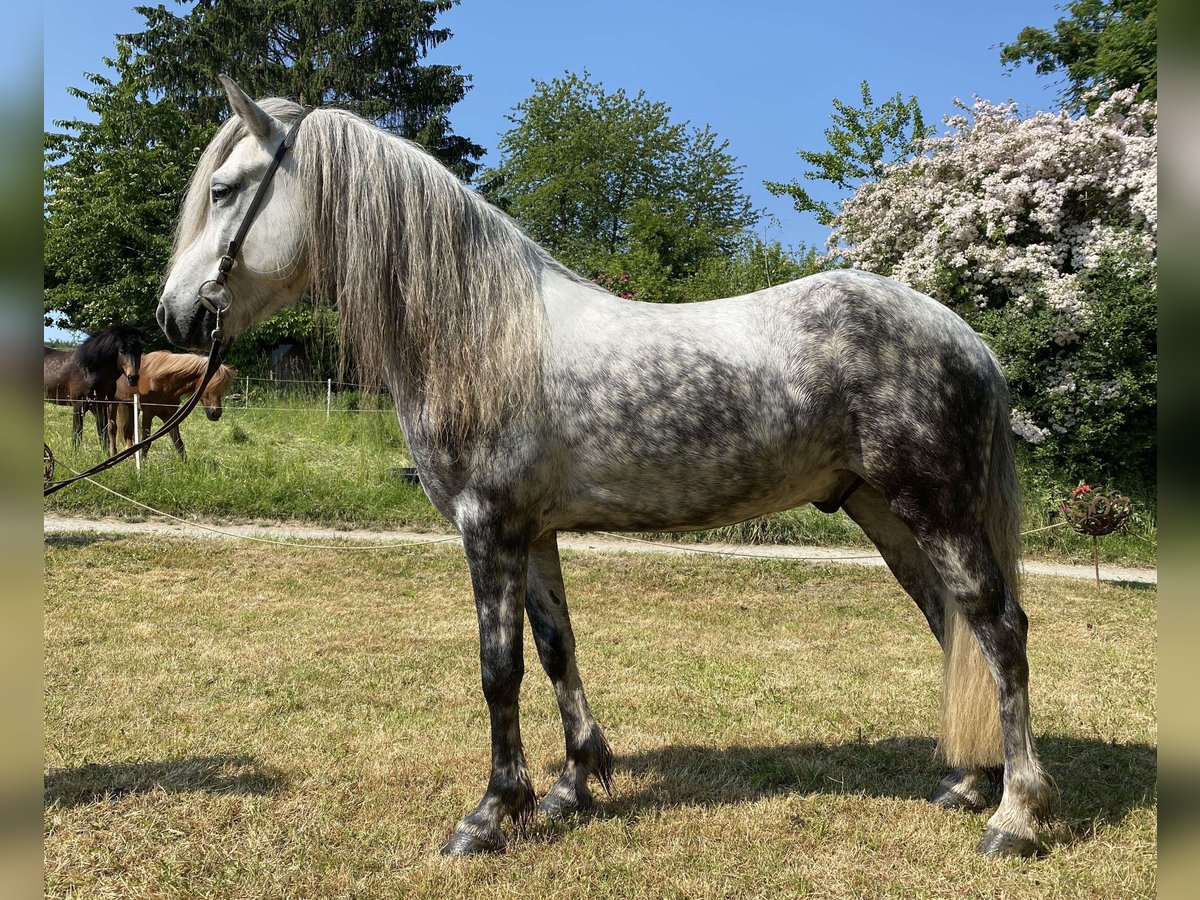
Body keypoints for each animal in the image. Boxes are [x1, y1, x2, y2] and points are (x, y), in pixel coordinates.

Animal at [109, 348, 237, 453]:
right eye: (208, 386)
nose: (216, 413)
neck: (162, 383)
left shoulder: (170, 415)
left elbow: (178, 443)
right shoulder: (148, 413)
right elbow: (145, 443)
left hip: (129, 406)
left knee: (127, 430)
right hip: (112, 403)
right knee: (112, 429)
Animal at [157, 79, 1051, 859]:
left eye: (227, 190)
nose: (172, 315)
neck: (482, 332)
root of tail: (965, 338)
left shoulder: (489, 528)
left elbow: (500, 669)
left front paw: (492, 813)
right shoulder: (533, 533)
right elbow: (557, 648)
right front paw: (573, 784)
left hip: (938, 510)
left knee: (999, 629)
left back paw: (1015, 816)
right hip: (888, 515)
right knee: (952, 625)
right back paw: (969, 783)